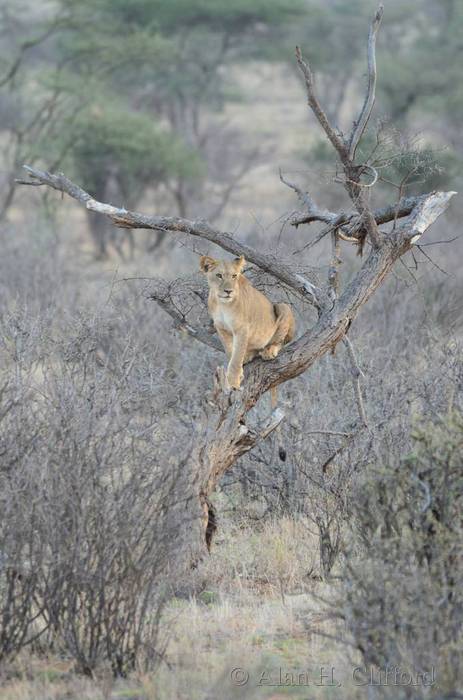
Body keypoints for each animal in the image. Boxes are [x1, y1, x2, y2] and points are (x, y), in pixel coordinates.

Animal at [200, 254, 296, 392]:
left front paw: (233, 381)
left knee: (280, 341)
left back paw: (269, 351)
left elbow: (236, 356)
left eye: (234, 276)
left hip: (283, 306)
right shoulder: (220, 327)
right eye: (219, 275)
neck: (222, 304)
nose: (228, 291)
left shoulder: (242, 328)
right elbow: (230, 351)